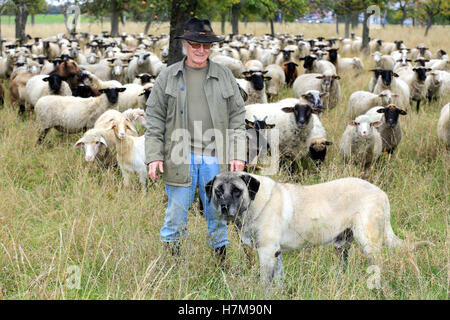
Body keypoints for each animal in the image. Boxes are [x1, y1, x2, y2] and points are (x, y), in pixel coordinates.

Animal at [206, 172, 430, 288]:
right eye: (218, 191)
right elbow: (278, 280)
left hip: (367, 241)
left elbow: (265, 283)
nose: (224, 206)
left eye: (237, 190)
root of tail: (381, 193)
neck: (254, 202)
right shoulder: (275, 254)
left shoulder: (267, 253)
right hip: (342, 246)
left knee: (383, 264)